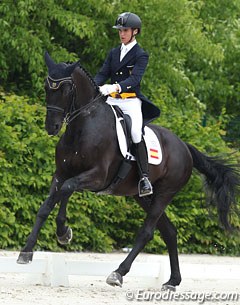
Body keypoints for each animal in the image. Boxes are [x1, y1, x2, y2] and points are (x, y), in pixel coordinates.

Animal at [16, 52, 238, 290]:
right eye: (46, 87)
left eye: (66, 90)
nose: (52, 127)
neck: (82, 127)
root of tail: (185, 147)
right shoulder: (61, 174)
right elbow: (46, 206)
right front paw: (27, 252)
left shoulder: (96, 177)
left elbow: (67, 189)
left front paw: (63, 233)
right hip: (142, 196)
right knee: (169, 231)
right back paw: (172, 281)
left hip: (165, 192)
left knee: (147, 232)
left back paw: (118, 273)